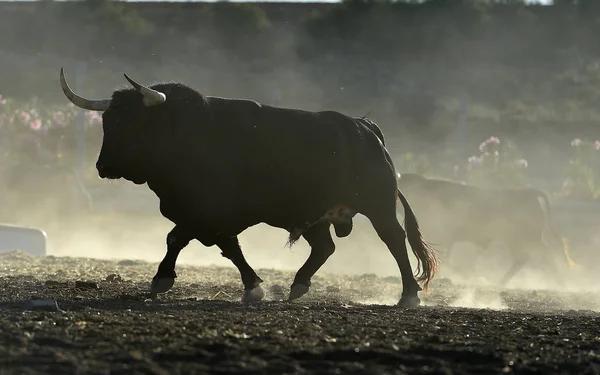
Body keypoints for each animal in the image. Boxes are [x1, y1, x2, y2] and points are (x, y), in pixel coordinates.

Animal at [58, 70, 438, 308]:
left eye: (132, 121)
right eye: (108, 120)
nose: (103, 167)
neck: (188, 135)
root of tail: (365, 127)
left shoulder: (209, 212)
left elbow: (177, 238)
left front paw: (162, 278)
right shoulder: (208, 217)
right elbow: (227, 248)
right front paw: (253, 287)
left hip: (378, 206)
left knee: (394, 240)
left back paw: (409, 295)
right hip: (316, 217)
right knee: (325, 247)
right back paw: (298, 285)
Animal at [394, 175, 576, 286]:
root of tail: (528, 192)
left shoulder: (443, 235)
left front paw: (466, 273)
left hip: (525, 237)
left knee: (545, 254)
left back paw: (561, 282)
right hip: (516, 239)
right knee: (523, 258)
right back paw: (501, 282)